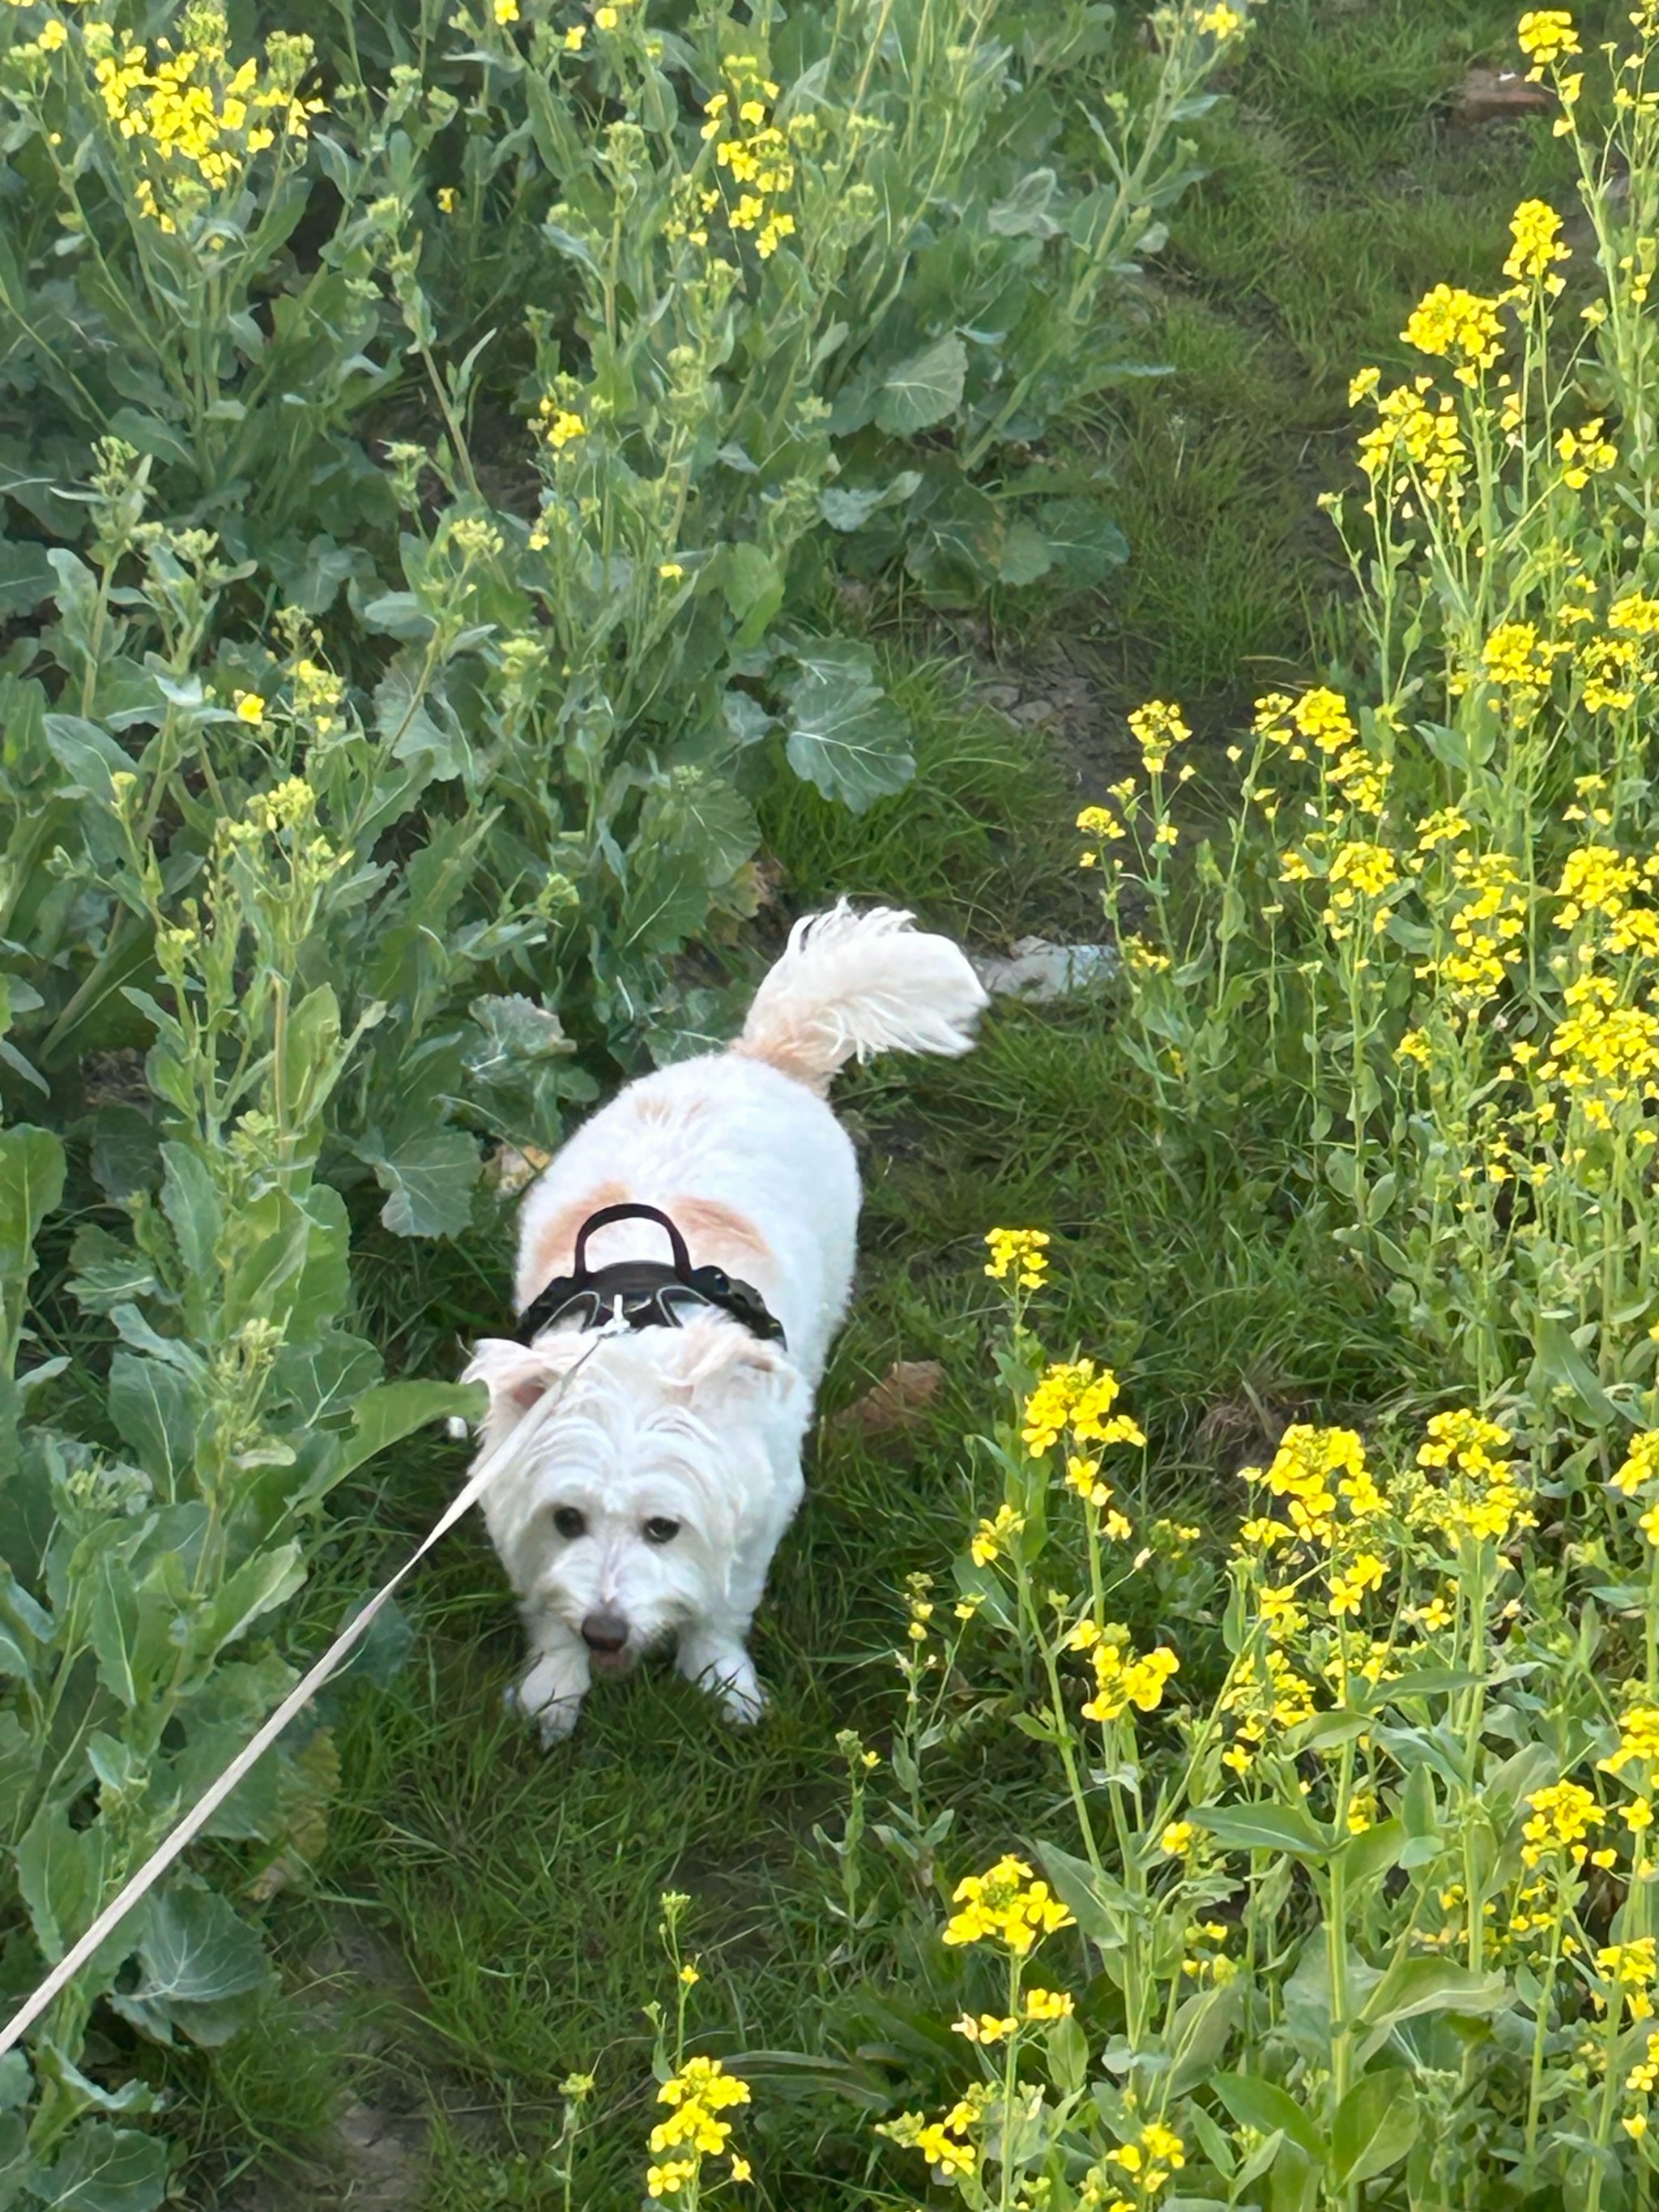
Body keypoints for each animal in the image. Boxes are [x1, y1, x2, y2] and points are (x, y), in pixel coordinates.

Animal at [462, 902, 986, 1743]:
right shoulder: (515, 1501)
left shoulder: (760, 1505)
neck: (633, 1342)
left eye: (663, 1529)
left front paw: (720, 1679)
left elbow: (724, 1605)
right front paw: (555, 1681)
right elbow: (542, 1600)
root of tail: (759, 1058)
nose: (604, 1631)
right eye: (568, 1519)